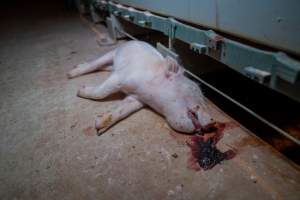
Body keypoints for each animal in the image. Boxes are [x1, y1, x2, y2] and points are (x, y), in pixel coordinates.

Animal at [67, 40, 214, 134]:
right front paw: (79, 90)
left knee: (103, 67)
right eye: (194, 90)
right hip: (112, 53)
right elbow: (101, 92)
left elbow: (123, 110)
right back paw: (71, 73)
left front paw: (99, 126)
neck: (145, 91)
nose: (213, 123)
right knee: (95, 64)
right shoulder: (120, 77)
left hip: (111, 66)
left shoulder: (137, 99)